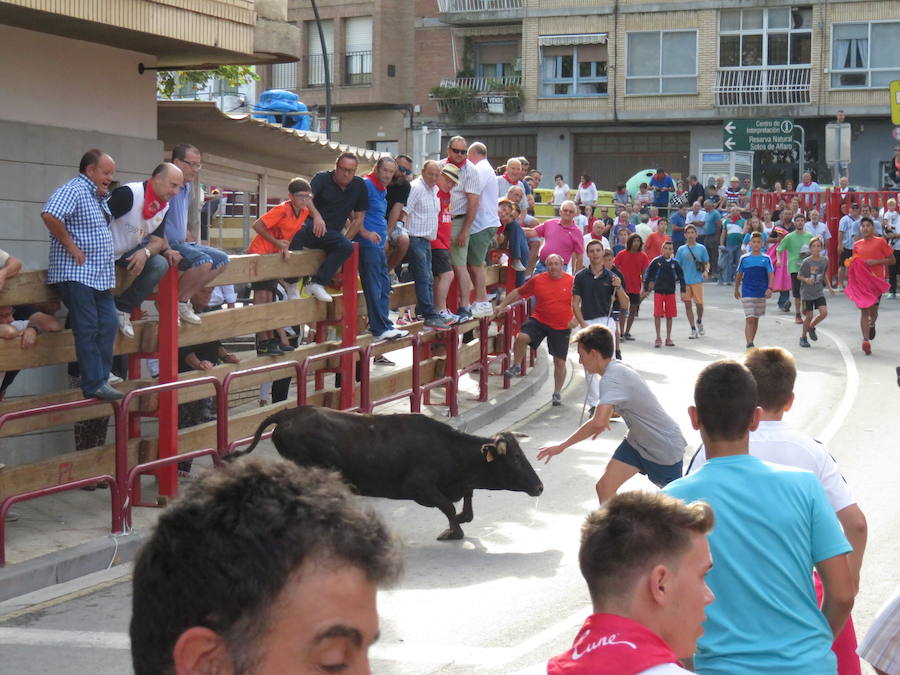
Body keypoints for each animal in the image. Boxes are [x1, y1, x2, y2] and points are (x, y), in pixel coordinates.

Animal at [232, 406, 540, 540]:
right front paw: (453, 531)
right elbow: (449, 507)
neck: (448, 448)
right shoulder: (419, 489)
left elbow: (466, 499)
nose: (539, 487)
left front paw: (462, 520)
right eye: (515, 457)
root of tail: (288, 413)